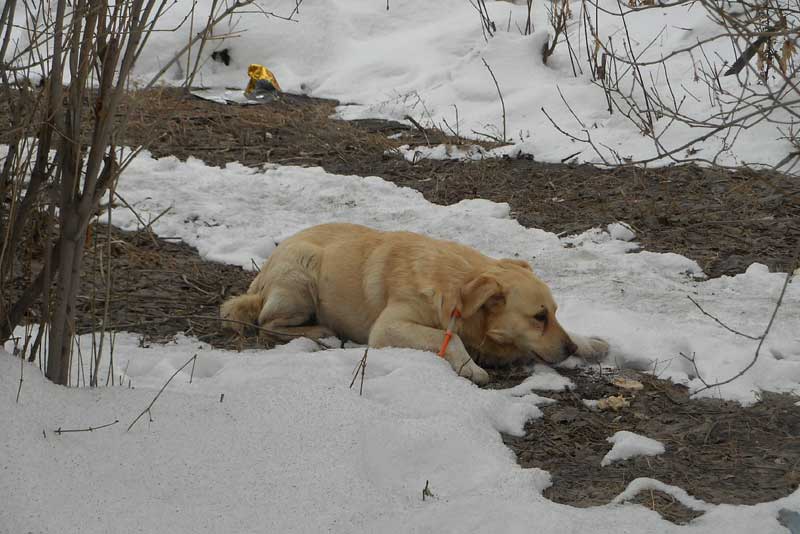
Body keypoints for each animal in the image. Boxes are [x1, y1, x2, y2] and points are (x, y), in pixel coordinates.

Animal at [219, 224, 608, 388]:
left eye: (554, 313)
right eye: (538, 317)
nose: (570, 350)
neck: (457, 287)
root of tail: (261, 276)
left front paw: (589, 342)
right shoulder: (389, 328)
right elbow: (449, 339)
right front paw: (469, 366)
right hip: (302, 275)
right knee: (267, 322)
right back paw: (322, 332)